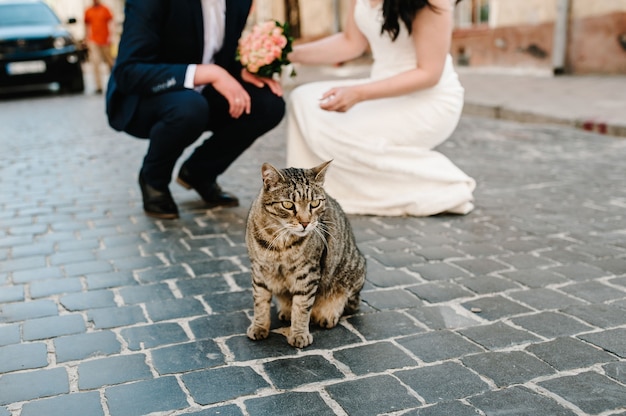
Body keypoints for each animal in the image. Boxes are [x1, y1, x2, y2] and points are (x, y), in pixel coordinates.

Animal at [245, 160, 366, 348]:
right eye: (288, 205)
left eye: (315, 203)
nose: (305, 223)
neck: (280, 244)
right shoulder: (259, 270)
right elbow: (260, 302)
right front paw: (259, 327)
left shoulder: (307, 273)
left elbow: (302, 307)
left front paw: (299, 334)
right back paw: (286, 310)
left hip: (352, 274)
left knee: (345, 301)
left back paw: (327, 314)